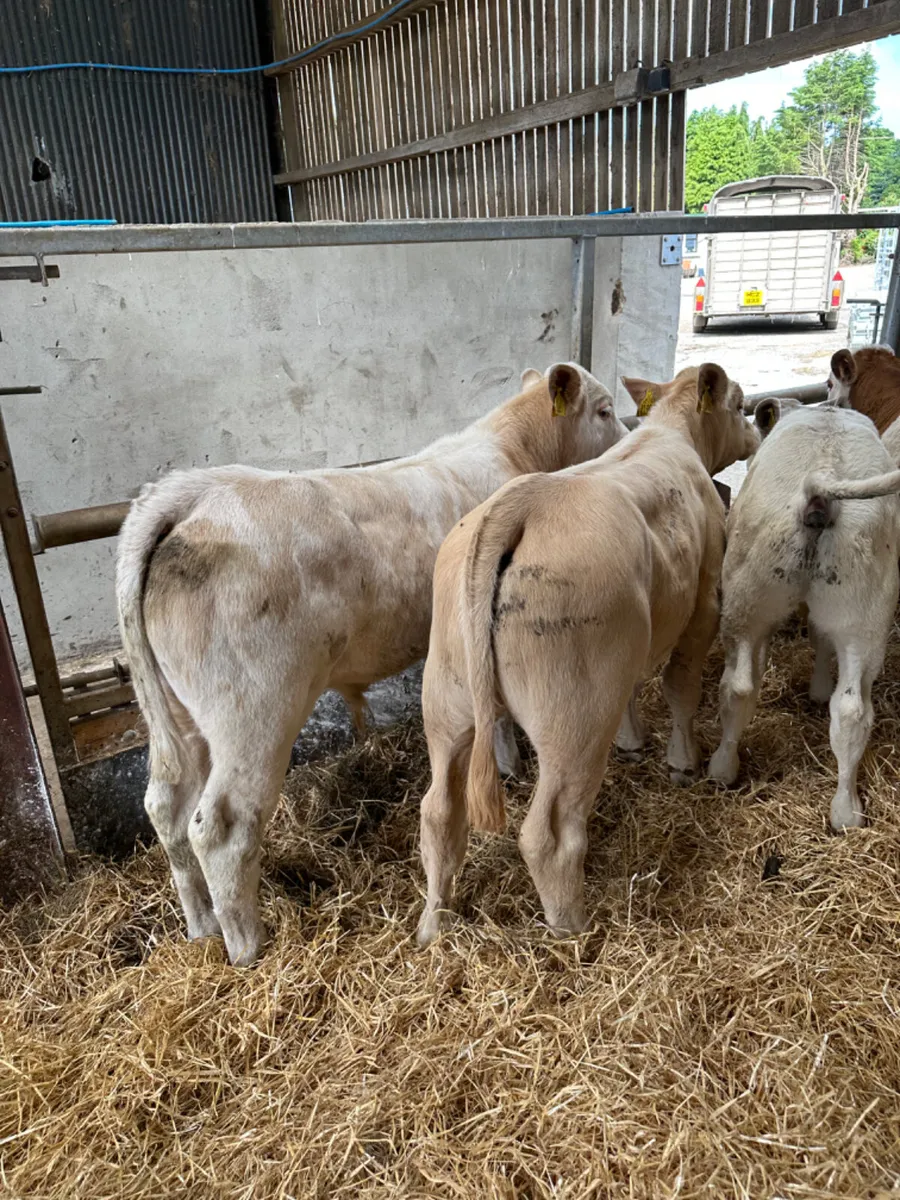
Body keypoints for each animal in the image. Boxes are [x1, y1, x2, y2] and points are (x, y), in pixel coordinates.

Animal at [116, 363, 628, 965]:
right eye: (604, 410)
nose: (626, 441)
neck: (512, 450)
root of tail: (194, 495)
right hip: (253, 709)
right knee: (221, 828)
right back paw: (247, 949)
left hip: (178, 713)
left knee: (165, 806)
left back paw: (201, 926)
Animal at [416, 363, 759, 947]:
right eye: (738, 404)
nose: (758, 431)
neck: (671, 435)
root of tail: (518, 505)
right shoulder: (703, 604)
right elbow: (681, 687)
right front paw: (682, 761)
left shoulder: (627, 649)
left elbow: (636, 689)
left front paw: (633, 740)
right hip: (574, 716)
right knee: (548, 835)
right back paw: (573, 929)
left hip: (447, 698)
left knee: (439, 811)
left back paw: (433, 924)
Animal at [708, 402, 900, 830]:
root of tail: (820, 485)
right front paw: (818, 688)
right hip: (861, 615)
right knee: (850, 708)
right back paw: (846, 811)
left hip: (747, 600)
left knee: (739, 689)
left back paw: (722, 767)